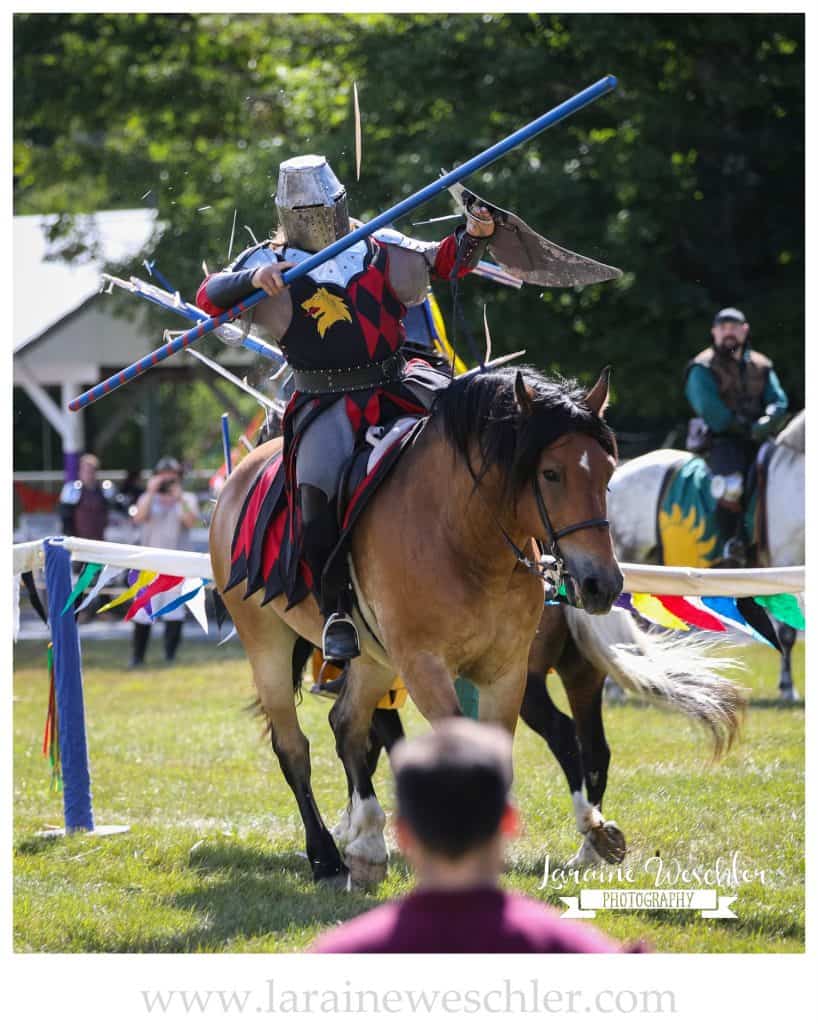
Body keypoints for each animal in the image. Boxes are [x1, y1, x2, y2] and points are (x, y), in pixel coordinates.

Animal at [209, 364, 622, 884]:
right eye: (550, 473)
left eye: (607, 473)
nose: (601, 584)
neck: (462, 538)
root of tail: (236, 481)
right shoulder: (425, 667)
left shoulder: (506, 673)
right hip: (268, 645)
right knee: (293, 747)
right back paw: (326, 856)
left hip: (375, 659)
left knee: (347, 724)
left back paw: (367, 841)